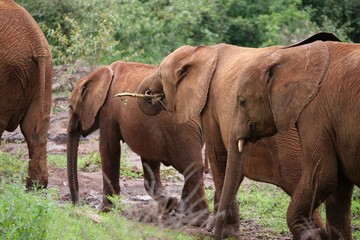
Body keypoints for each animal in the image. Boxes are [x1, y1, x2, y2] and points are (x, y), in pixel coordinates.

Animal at [67, 60, 208, 225]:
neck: (97, 73)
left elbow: (109, 149)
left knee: (192, 168)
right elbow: (149, 158)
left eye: (70, 107)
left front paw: (104, 211)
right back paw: (184, 213)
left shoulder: (108, 110)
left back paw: (196, 220)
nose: (77, 205)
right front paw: (169, 204)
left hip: (182, 130)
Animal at [137, 32, 340, 239]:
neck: (202, 51)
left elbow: (219, 157)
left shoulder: (211, 105)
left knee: (297, 180)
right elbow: (232, 172)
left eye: (160, 75)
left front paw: (225, 232)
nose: (149, 94)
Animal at [219, 36, 360, 240]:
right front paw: (315, 233)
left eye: (242, 102)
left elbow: (323, 176)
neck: (293, 54)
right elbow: (338, 189)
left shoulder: (315, 113)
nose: (219, 235)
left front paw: (310, 233)